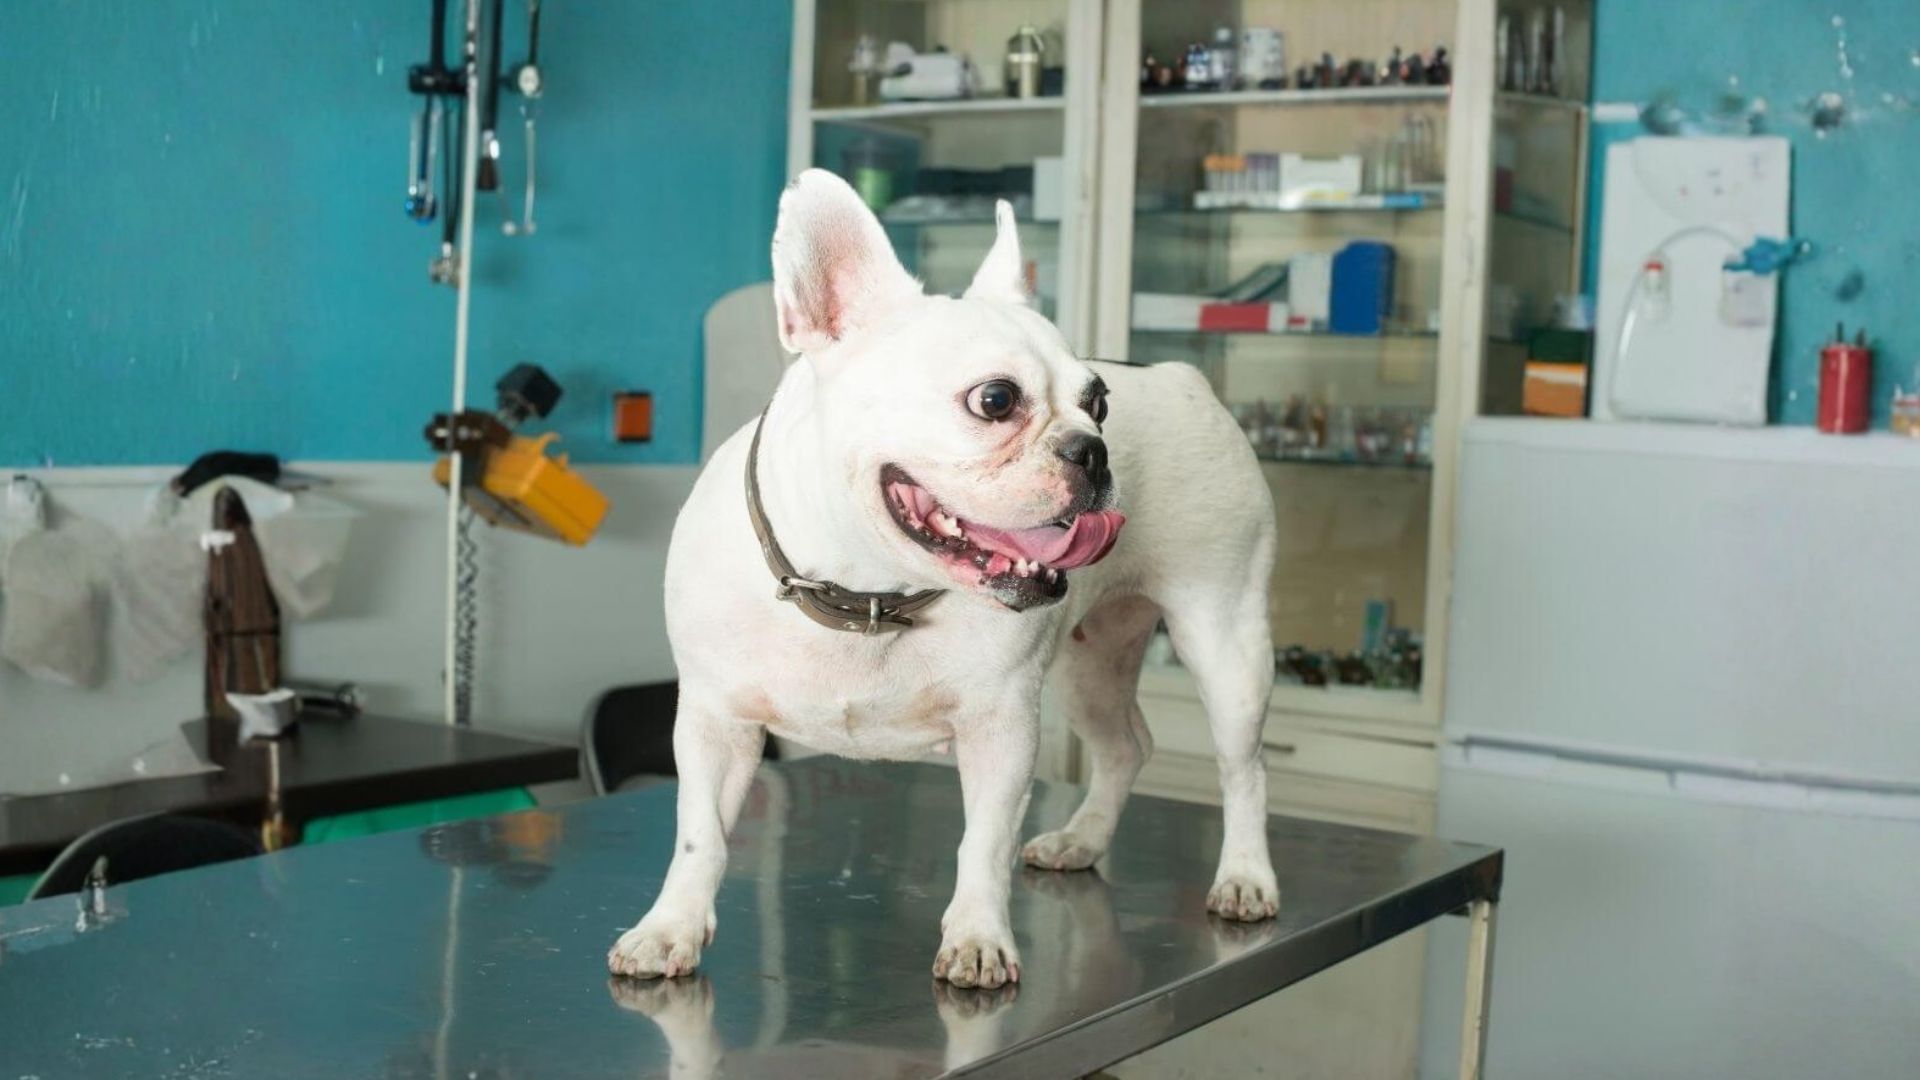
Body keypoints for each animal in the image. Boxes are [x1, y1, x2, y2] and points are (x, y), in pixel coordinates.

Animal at [609, 170, 1279, 989]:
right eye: (995, 400)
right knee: (1126, 746)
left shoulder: (1002, 728)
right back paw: (1081, 840)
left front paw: (979, 939)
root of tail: (1187, 377)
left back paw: (1244, 877)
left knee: (1243, 768)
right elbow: (697, 833)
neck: (867, 592)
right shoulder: (714, 721)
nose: (1093, 449)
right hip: (1090, 663)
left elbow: (982, 843)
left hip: (1225, 637)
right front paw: (668, 927)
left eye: (1098, 402)